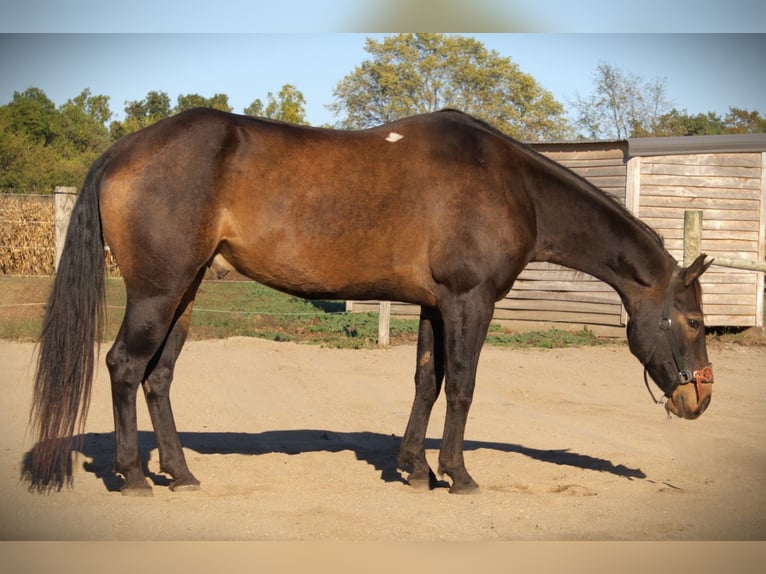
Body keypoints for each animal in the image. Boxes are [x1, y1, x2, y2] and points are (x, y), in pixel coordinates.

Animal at [28, 108, 714, 495]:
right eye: (694, 320)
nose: (700, 399)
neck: (511, 184)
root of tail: (123, 150)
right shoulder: (471, 302)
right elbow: (462, 386)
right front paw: (457, 474)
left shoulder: (436, 305)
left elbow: (427, 382)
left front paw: (414, 468)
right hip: (158, 291)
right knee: (123, 366)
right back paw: (134, 476)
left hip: (187, 290)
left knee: (159, 376)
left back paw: (181, 472)